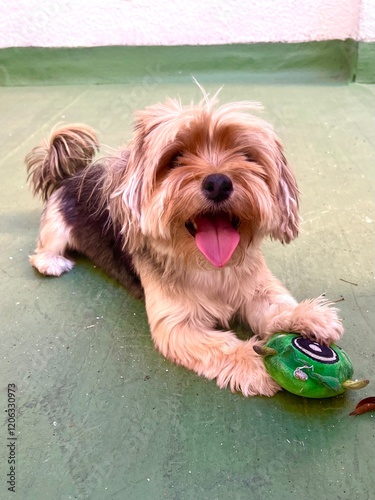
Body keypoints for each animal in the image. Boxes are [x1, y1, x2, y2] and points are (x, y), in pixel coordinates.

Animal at [25, 92, 346, 396]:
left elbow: (276, 306)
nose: (218, 183)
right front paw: (256, 362)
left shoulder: (255, 287)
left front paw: (306, 316)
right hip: (56, 226)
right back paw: (51, 262)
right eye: (175, 158)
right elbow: (220, 346)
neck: (212, 267)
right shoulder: (178, 326)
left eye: (246, 156)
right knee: (43, 249)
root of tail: (69, 176)